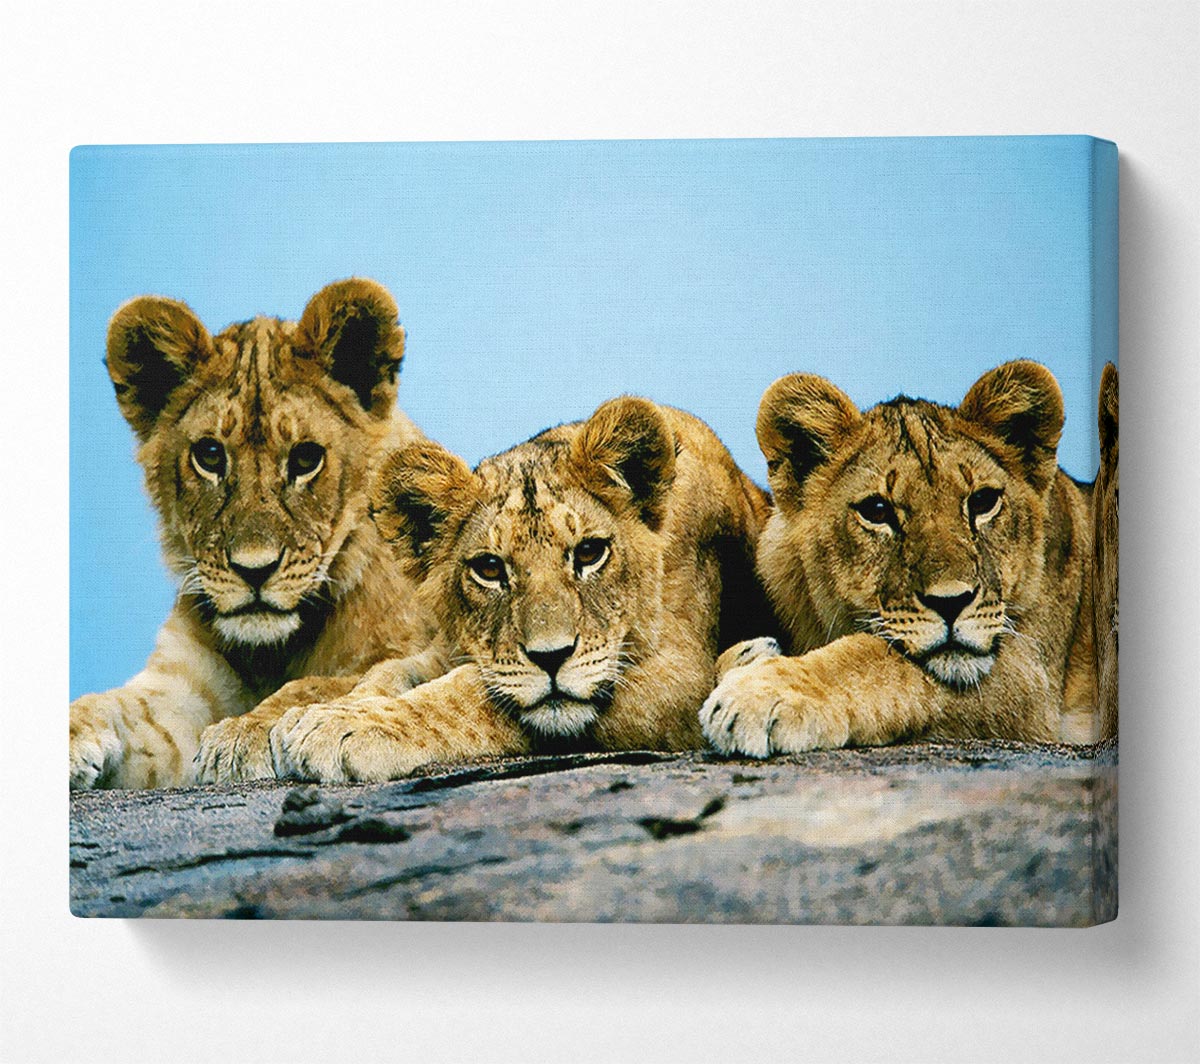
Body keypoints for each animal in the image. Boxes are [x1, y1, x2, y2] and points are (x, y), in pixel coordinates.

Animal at [70, 279, 442, 789]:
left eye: (306, 459)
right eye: (209, 455)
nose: (254, 570)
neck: (272, 654)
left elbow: (319, 685)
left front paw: (245, 731)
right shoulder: (179, 693)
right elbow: (113, 703)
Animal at [264, 396, 773, 783]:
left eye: (590, 553)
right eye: (489, 568)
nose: (551, 658)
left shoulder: (679, 676)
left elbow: (470, 697)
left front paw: (343, 725)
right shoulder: (450, 647)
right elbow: (388, 673)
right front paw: (320, 713)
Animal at [699, 360, 1097, 756]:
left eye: (983, 502)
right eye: (877, 511)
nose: (952, 602)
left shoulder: (1029, 677)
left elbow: (877, 663)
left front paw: (758, 695)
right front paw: (748, 656)